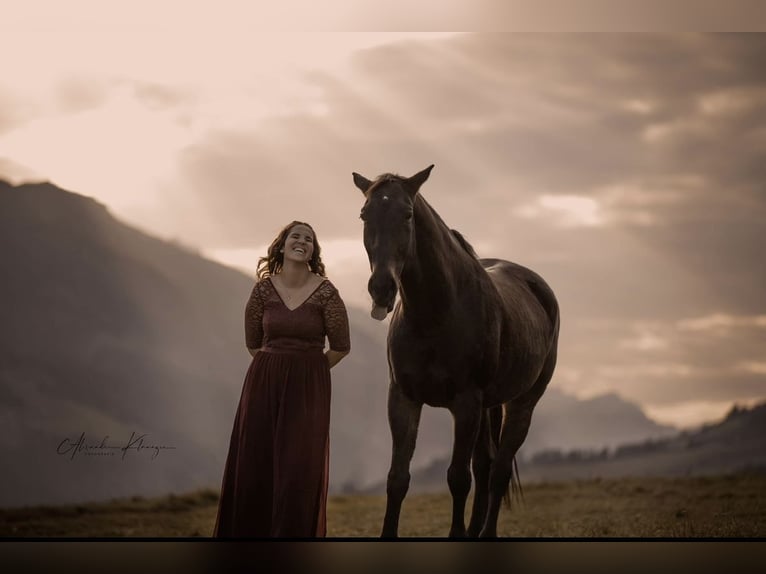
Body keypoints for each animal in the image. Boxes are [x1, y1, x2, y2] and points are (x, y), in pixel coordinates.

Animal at [352, 164, 560, 536]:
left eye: (407, 214)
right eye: (364, 213)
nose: (382, 288)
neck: (436, 313)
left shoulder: (466, 404)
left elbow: (458, 479)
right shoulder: (403, 399)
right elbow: (397, 479)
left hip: (522, 403)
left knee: (498, 470)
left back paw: (486, 533)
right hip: (488, 407)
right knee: (486, 464)